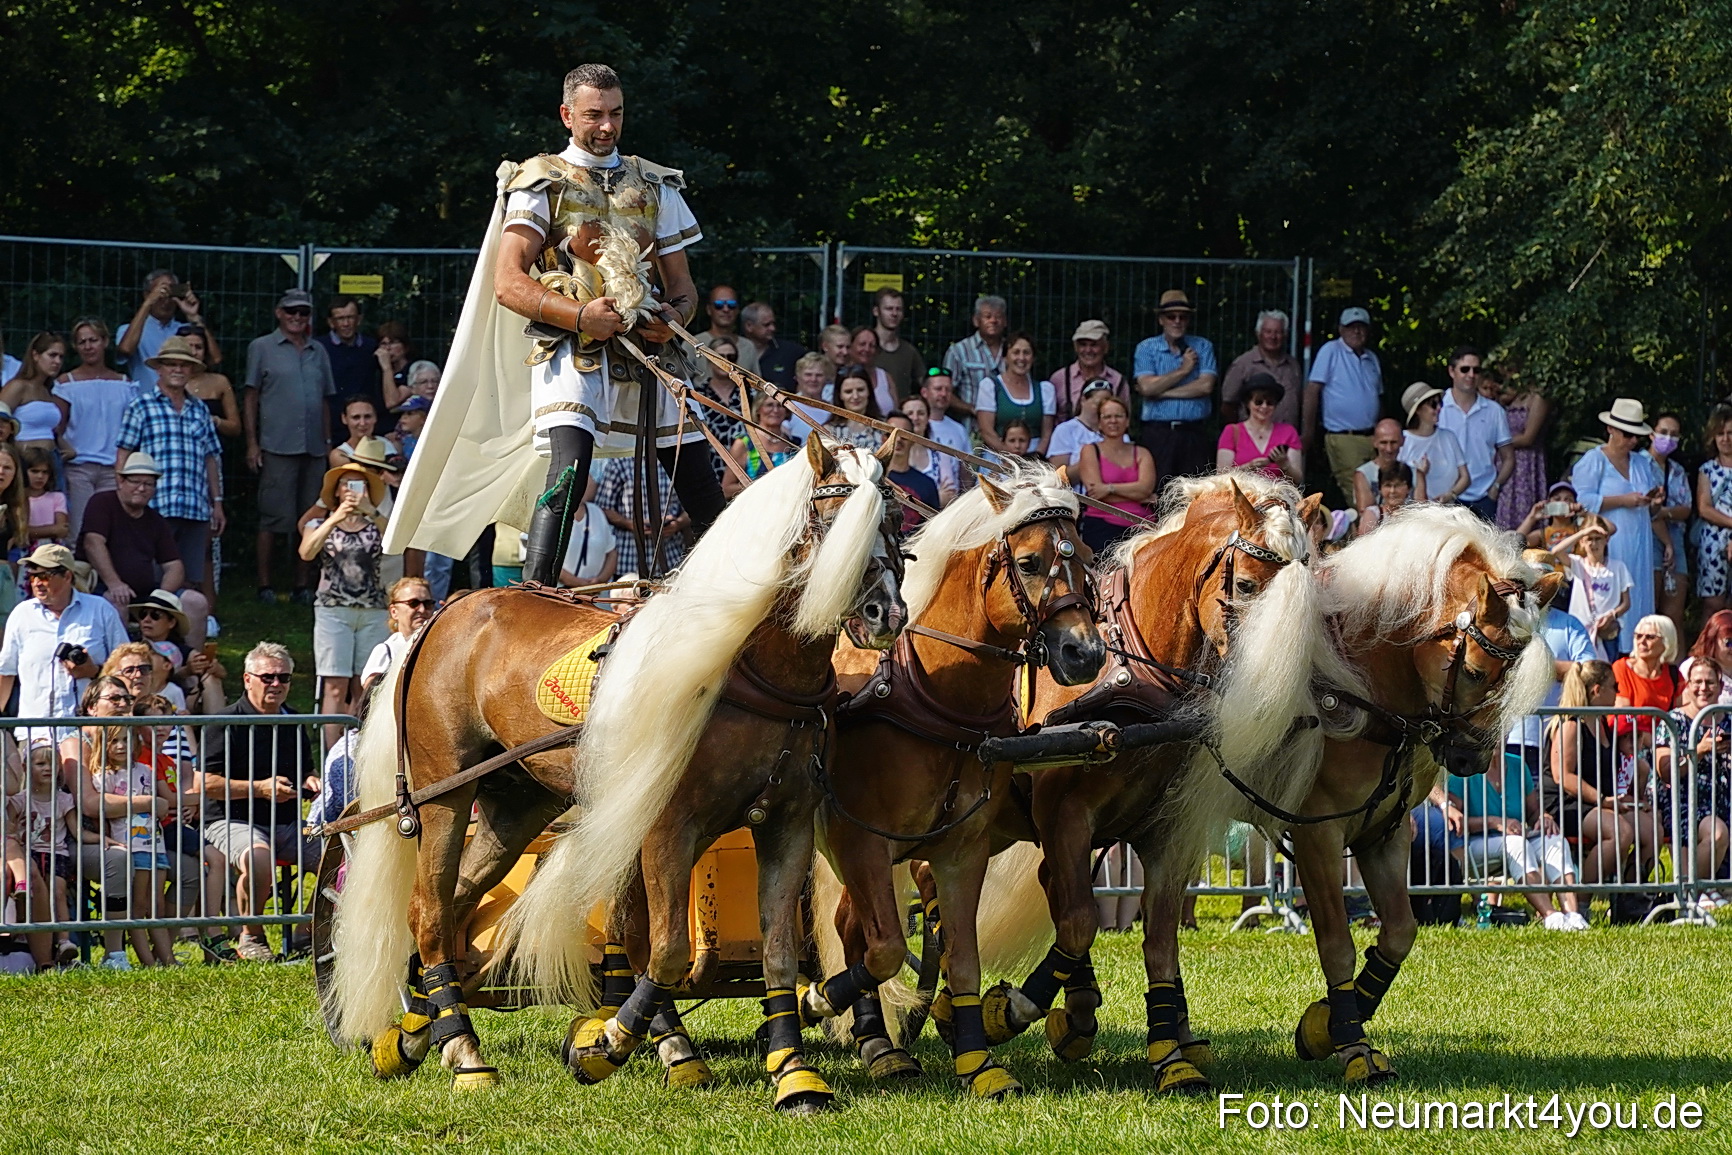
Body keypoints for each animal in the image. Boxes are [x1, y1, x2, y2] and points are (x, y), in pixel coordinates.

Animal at [324, 434, 905, 1101]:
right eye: (834, 523)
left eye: (894, 525)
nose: (888, 613)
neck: (745, 665)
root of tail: (446, 613)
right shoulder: (667, 827)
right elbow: (666, 950)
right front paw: (607, 1045)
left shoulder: (786, 824)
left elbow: (778, 951)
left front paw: (792, 1070)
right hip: (445, 794)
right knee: (429, 908)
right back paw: (463, 1049)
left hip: (514, 805)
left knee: (455, 907)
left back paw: (421, 1029)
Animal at [799, 462, 1105, 1099]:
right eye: (1030, 562)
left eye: (1086, 555)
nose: (1084, 655)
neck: (935, 697)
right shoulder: (860, 841)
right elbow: (887, 948)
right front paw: (815, 999)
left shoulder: (962, 849)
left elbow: (963, 957)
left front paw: (978, 1061)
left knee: (850, 927)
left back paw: (881, 1043)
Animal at [964, 473, 1339, 1093]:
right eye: (1244, 584)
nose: (1284, 701)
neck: (1135, 680)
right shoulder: (1065, 817)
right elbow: (1080, 922)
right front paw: (1011, 1011)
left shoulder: (1166, 829)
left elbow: (1159, 939)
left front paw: (1170, 1051)